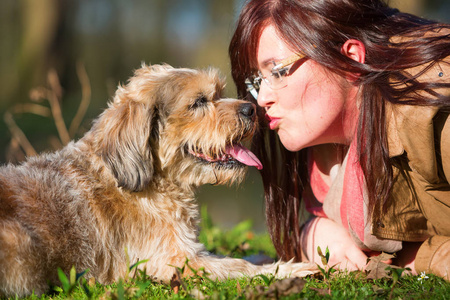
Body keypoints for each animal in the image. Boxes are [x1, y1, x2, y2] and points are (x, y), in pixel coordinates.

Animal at [0, 64, 316, 296]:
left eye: (218, 93)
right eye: (199, 102)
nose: (251, 109)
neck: (156, 183)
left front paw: (270, 259)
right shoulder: (172, 262)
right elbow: (236, 266)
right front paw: (289, 270)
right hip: (22, 246)